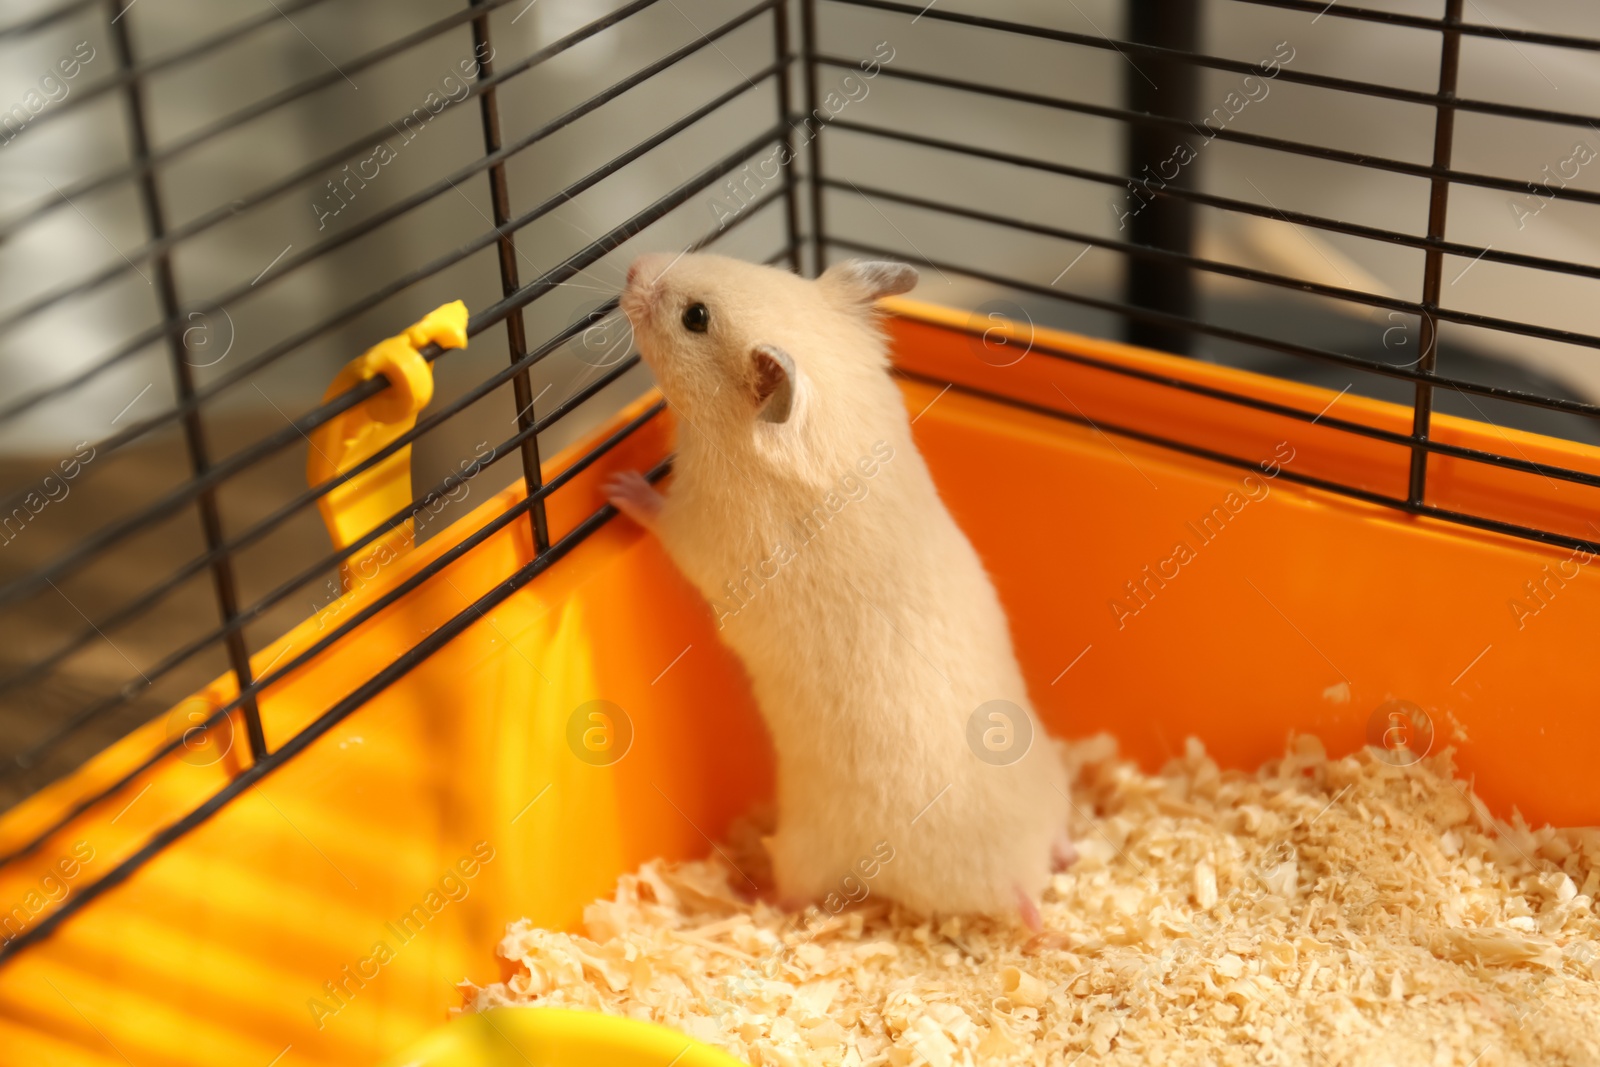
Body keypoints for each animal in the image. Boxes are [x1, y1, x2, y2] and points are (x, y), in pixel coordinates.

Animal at [604, 252, 1068, 927]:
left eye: (696, 318)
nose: (635, 265)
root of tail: (1017, 880)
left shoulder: (702, 531)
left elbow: (660, 517)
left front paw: (616, 485)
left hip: (810, 844)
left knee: (795, 893)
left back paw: (748, 893)